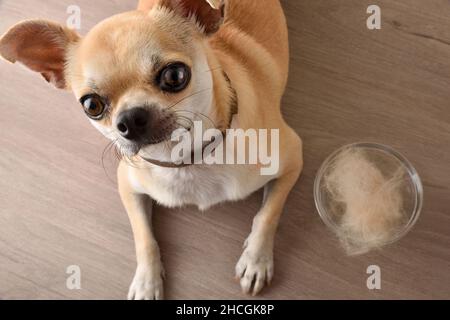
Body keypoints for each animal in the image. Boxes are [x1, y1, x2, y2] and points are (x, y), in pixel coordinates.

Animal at [0, 0, 302, 300]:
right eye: (91, 105)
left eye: (174, 75)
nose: (131, 118)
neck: (186, 161)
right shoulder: (128, 187)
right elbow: (144, 238)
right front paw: (147, 282)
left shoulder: (293, 159)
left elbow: (267, 214)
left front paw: (255, 260)